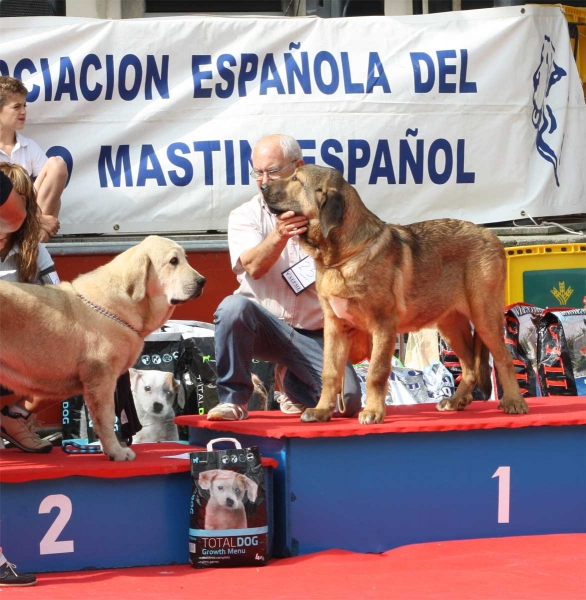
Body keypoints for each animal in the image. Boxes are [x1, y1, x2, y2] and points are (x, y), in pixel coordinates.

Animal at [0, 234, 205, 460]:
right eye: (173, 261)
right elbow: (107, 417)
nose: (202, 281)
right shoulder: (102, 377)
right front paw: (117, 451)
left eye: (185, 258)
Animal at [262, 164, 528, 424]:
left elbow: (376, 372)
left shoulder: (383, 326)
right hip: (450, 324)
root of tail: (490, 235)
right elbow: (330, 372)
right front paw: (322, 410)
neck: (341, 258)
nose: (263, 186)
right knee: (470, 366)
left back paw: (514, 401)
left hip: (484, 315)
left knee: (503, 359)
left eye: (296, 179)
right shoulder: (335, 326)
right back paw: (455, 401)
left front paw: (373, 411)